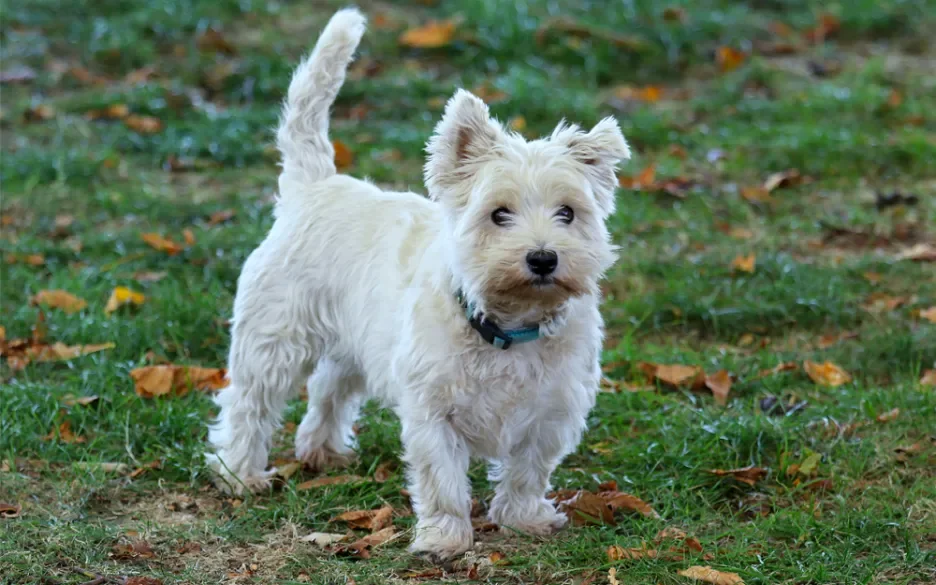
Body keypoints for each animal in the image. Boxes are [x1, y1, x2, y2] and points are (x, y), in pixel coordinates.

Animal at [205, 6, 628, 560]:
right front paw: (445, 538)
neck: (508, 325)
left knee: (328, 386)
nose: (542, 258)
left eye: (568, 212)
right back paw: (241, 474)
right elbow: (442, 479)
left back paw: (322, 450)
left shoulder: (551, 411)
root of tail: (314, 186)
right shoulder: (433, 411)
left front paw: (523, 519)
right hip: (273, 338)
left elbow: (526, 471)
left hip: (355, 342)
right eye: (499, 214)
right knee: (249, 404)